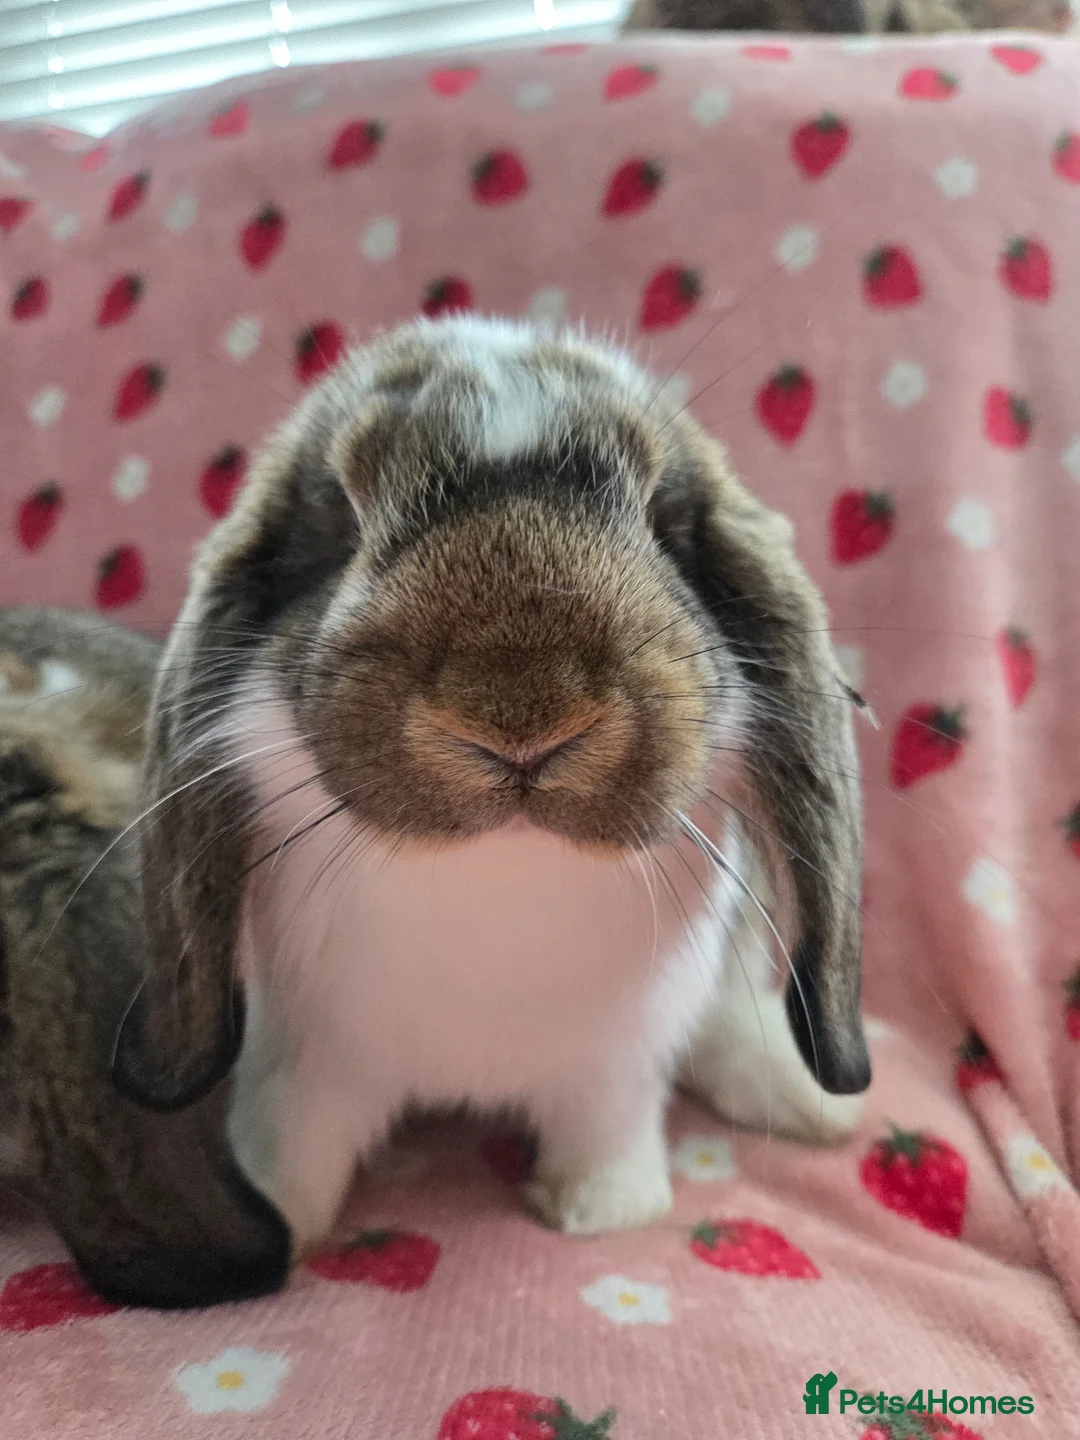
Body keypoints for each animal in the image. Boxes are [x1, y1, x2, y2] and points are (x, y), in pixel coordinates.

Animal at [112, 316, 872, 1258]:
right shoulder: (309, 1063)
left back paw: (809, 1106)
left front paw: (602, 1211)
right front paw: (280, 1222)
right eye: (343, 516)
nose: (521, 715)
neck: (502, 871)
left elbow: (608, 1132)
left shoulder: (613, 1068)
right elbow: (295, 1143)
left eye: (662, 518)